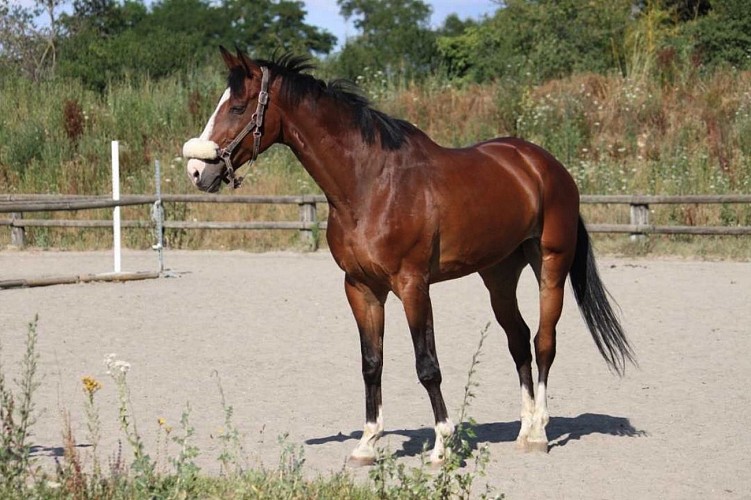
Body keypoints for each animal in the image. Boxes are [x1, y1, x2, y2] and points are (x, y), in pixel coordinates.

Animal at [182, 47, 635, 466]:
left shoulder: (413, 286)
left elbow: (426, 364)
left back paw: (539, 432)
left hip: (550, 266)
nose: (197, 172)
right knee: (519, 340)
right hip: (499, 275)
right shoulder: (361, 288)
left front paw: (441, 446)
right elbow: (371, 362)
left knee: (544, 341)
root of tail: (545, 165)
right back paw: (523, 430)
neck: (369, 185)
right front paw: (367, 444)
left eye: (238, 106)